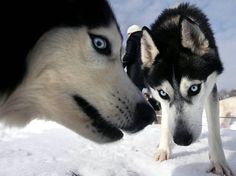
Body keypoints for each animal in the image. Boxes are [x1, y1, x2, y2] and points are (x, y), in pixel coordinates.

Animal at [140, 3, 232, 176]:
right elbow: (166, 123)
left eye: (194, 88)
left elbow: (214, 130)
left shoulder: (210, 90)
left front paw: (218, 162)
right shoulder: (161, 100)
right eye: (163, 93)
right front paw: (164, 148)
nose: (182, 140)